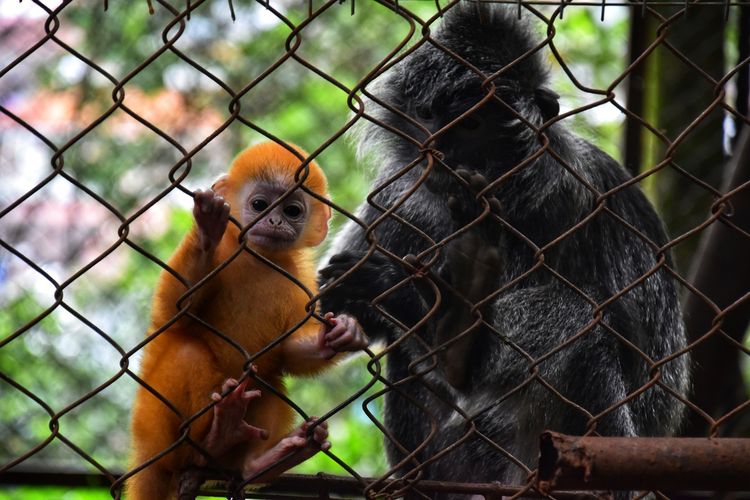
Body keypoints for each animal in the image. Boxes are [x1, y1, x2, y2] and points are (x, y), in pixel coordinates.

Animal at [128, 142, 368, 500]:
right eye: (259, 205)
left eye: (292, 211)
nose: (274, 220)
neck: (258, 256)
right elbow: (174, 312)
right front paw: (206, 232)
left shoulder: (299, 279)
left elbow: (287, 354)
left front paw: (344, 333)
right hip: (155, 428)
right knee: (187, 353)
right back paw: (216, 436)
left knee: (267, 380)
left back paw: (263, 460)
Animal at [320, 0, 692, 492]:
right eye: (434, 115)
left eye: (477, 123)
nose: (443, 152)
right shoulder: (400, 195)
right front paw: (348, 321)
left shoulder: (570, 189)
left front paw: (425, 303)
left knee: (580, 322)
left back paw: (452, 327)